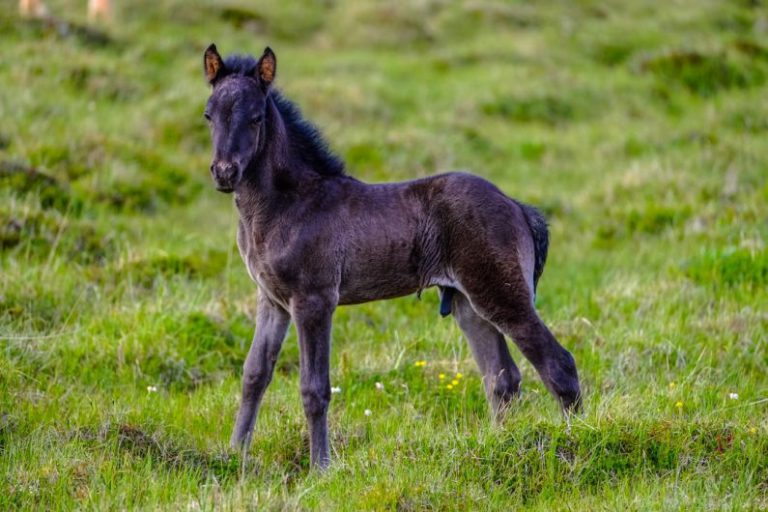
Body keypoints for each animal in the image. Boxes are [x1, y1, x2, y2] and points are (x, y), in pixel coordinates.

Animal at [202, 44, 581, 469]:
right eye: (209, 114)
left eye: (256, 118)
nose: (224, 173)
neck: (288, 203)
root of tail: (517, 207)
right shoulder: (272, 300)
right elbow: (254, 375)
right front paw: (234, 454)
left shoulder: (314, 300)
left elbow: (314, 387)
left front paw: (321, 468)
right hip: (468, 304)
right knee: (502, 379)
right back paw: (502, 445)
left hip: (501, 294)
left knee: (558, 365)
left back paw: (576, 440)